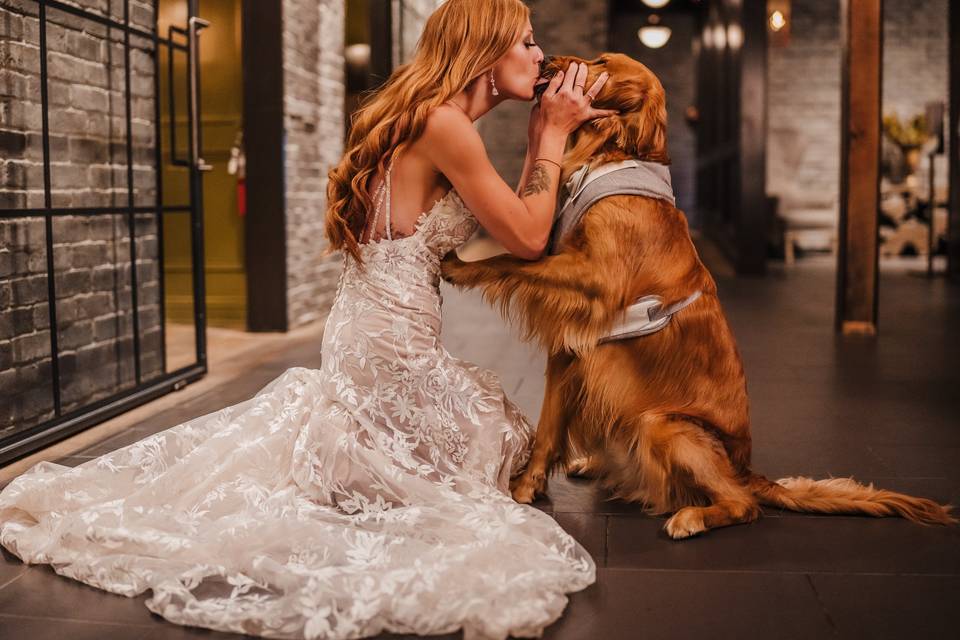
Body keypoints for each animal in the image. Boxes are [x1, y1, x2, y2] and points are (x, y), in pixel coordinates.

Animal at [440, 53, 952, 540]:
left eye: (602, 62)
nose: (545, 60)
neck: (610, 153)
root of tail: (749, 471)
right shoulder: (570, 347)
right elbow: (548, 426)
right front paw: (528, 484)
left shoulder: (594, 280)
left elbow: (511, 259)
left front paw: (458, 265)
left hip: (664, 424)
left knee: (743, 505)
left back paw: (691, 517)